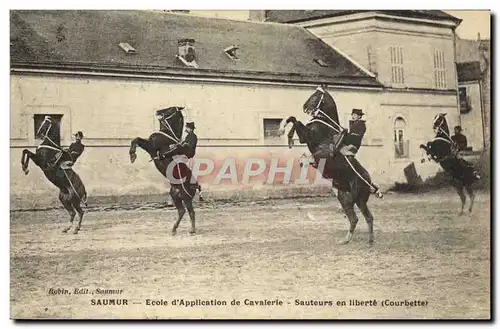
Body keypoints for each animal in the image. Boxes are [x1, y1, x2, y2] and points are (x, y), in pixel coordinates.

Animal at [129, 106, 201, 234]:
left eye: (171, 109)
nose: (158, 111)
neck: (167, 134)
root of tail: (196, 185)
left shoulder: (152, 146)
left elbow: (137, 140)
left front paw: (132, 155)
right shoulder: (149, 146)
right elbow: (136, 139)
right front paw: (132, 155)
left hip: (186, 197)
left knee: (191, 212)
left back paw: (192, 230)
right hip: (175, 196)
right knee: (181, 211)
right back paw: (174, 229)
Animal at [282, 86, 378, 245]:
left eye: (317, 95)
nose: (305, 107)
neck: (326, 124)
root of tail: (370, 182)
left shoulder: (308, 136)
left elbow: (296, 121)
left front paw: (287, 135)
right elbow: (293, 119)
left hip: (359, 199)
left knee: (368, 217)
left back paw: (370, 241)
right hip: (344, 197)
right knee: (354, 218)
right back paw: (346, 240)